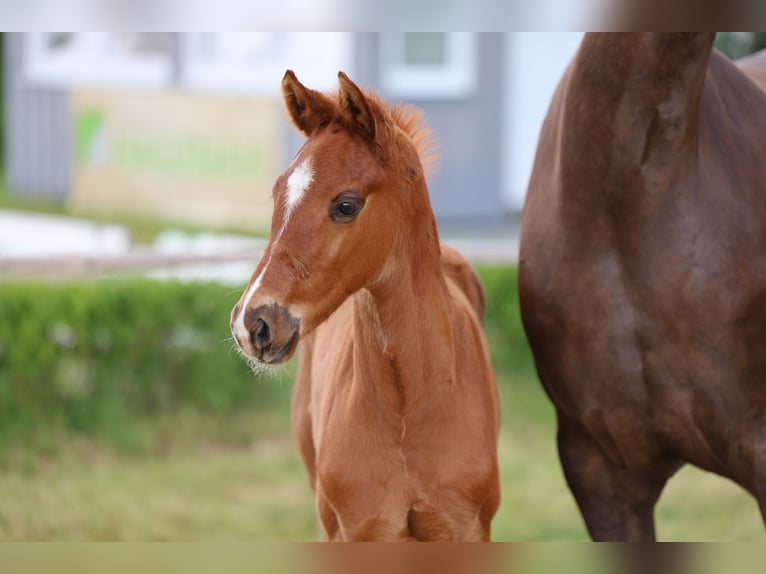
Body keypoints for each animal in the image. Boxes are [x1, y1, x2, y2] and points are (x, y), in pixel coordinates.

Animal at [230, 70, 500, 541]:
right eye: (278, 193)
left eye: (345, 205)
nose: (253, 324)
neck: (409, 412)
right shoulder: (357, 530)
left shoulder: (466, 528)